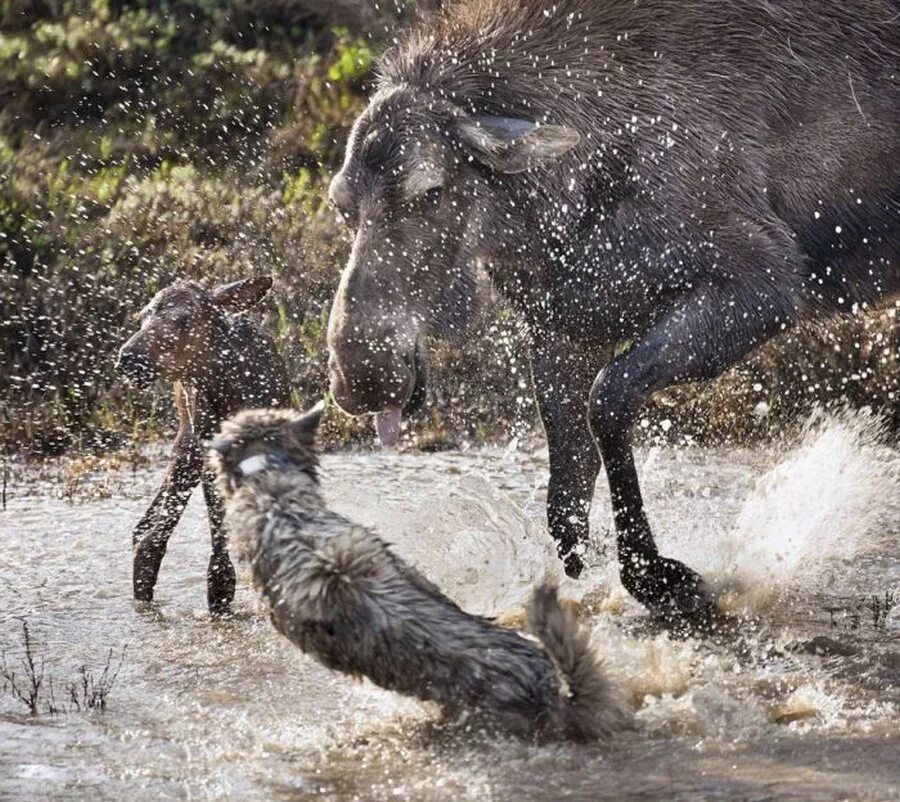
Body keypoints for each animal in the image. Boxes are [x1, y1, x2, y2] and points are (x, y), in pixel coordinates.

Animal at [116, 276, 290, 612]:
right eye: (142, 317)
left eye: (184, 319)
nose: (129, 359)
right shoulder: (205, 452)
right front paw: (219, 592)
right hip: (187, 443)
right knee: (149, 532)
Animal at [326, 0, 900, 624]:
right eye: (340, 204)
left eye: (429, 191)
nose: (361, 376)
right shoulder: (567, 325)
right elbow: (564, 495)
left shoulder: (762, 282)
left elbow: (608, 402)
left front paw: (659, 578)